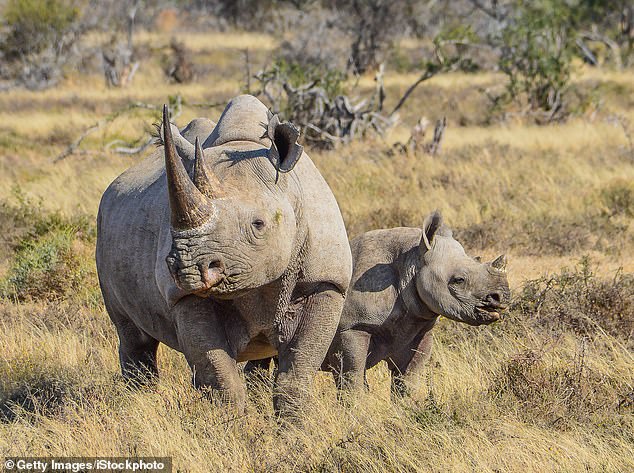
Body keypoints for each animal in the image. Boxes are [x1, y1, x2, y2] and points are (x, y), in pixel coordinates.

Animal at [95, 93, 350, 416]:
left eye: (258, 224)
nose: (188, 268)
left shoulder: (326, 282)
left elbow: (297, 372)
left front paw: (295, 426)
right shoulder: (183, 296)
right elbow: (220, 378)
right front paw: (230, 425)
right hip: (104, 227)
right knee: (133, 336)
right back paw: (138, 403)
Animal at [326, 211, 508, 394]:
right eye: (459, 280)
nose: (501, 297)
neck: (412, 260)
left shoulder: (418, 328)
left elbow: (408, 380)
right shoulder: (352, 326)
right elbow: (352, 379)